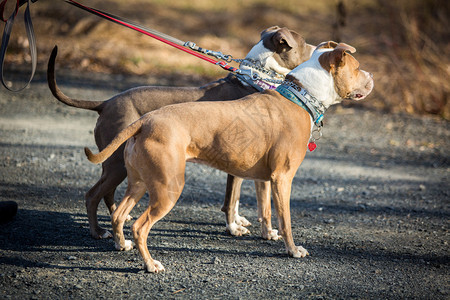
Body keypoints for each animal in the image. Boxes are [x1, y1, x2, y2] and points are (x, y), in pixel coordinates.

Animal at [47, 27, 314, 240]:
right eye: (306, 44)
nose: (319, 46)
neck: (256, 79)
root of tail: (105, 103)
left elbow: (236, 199)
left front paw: (239, 221)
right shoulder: (236, 165)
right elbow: (231, 200)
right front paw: (233, 227)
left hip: (116, 163)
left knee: (107, 192)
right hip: (116, 162)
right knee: (93, 195)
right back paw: (98, 232)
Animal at [86, 41, 374, 274]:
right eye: (358, 67)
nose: (372, 75)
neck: (301, 95)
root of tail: (145, 121)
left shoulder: (265, 178)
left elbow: (265, 210)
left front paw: (266, 234)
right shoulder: (283, 178)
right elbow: (286, 220)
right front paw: (292, 250)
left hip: (139, 182)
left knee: (119, 214)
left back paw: (121, 243)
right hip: (168, 188)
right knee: (140, 226)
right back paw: (149, 264)